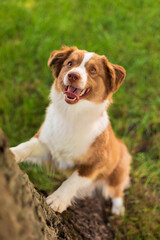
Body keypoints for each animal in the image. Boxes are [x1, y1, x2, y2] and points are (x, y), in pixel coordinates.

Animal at [10, 45, 131, 216]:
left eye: (93, 70)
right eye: (70, 63)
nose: (73, 75)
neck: (72, 115)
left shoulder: (96, 163)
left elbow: (73, 180)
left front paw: (58, 200)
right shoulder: (46, 144)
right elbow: (26, 146)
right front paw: (11, 152)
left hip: (118, 168)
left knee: (117, 190)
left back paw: (118, 209)